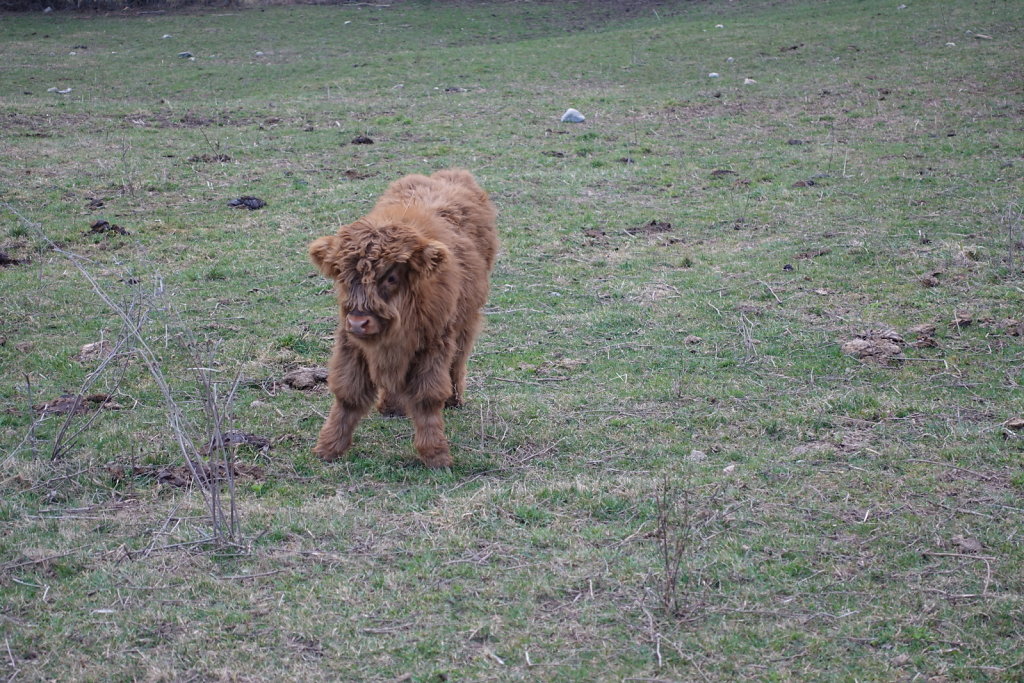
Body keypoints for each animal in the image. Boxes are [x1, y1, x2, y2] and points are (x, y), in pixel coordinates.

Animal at [307, 171, 499, 471]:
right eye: (343, 276)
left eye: (391, 277)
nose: (360, 322)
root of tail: (451, 174)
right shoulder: (351, 344)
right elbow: (347, 395)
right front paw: (328, 448)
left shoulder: (434, 343)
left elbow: (427, 398)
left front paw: (435, 455)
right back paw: (390, 406)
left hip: (466, 321)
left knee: (458, 360)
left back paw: (454, 399)